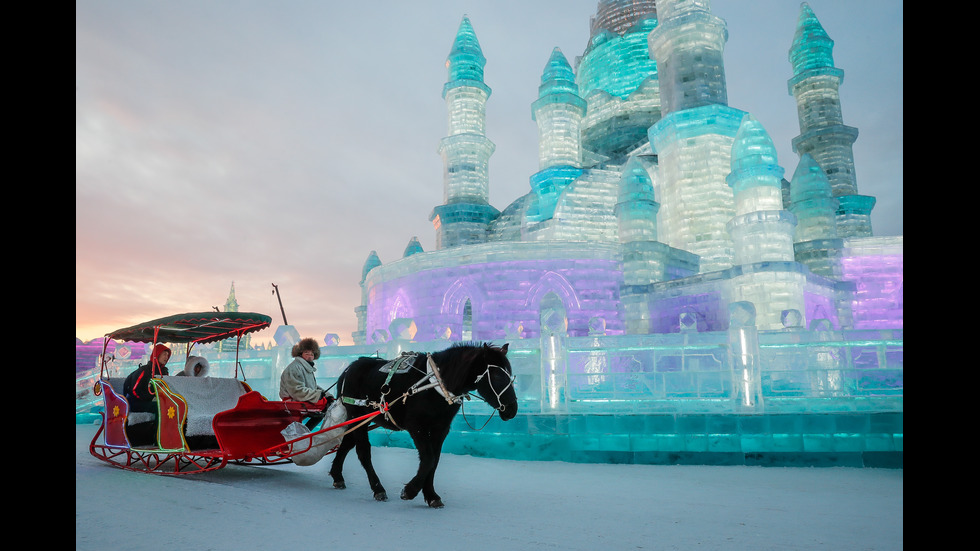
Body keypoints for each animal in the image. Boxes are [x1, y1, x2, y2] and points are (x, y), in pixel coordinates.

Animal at [332, 344, 516, 508]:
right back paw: (378, 488)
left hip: (362, 419)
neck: (435, 385)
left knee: (347, 443)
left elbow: (434, 461)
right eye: (497, 376)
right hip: (357, 415)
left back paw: (337, 475)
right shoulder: (416, 426)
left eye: (511, 376)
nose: (512, 410)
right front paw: (410, 490)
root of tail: (349, 368)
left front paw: (431, 495)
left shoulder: (440, 429)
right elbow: (428, 459)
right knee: (363, 451)